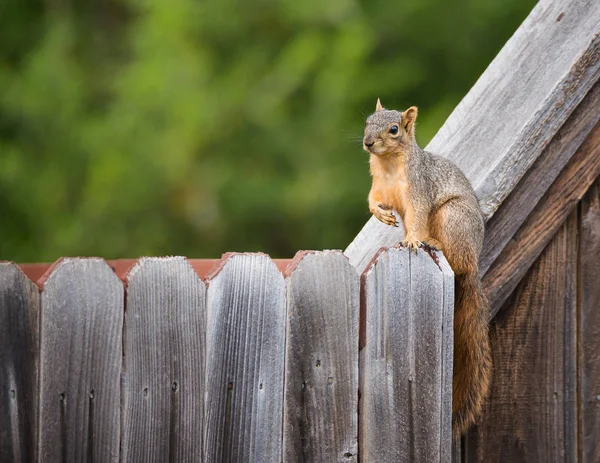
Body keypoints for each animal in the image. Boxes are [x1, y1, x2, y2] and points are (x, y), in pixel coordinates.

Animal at [364, 99, 490, 436]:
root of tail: (474, 264)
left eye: (394, 129)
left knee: (456, 256)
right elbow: (373, 199)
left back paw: (431, 242)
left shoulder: (418, 191)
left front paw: (410, 241)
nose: (368, 142)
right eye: (366, 121)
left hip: (453, 218)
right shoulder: (380, 187)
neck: (388, 166)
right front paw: (380, 215)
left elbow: (418, 216)